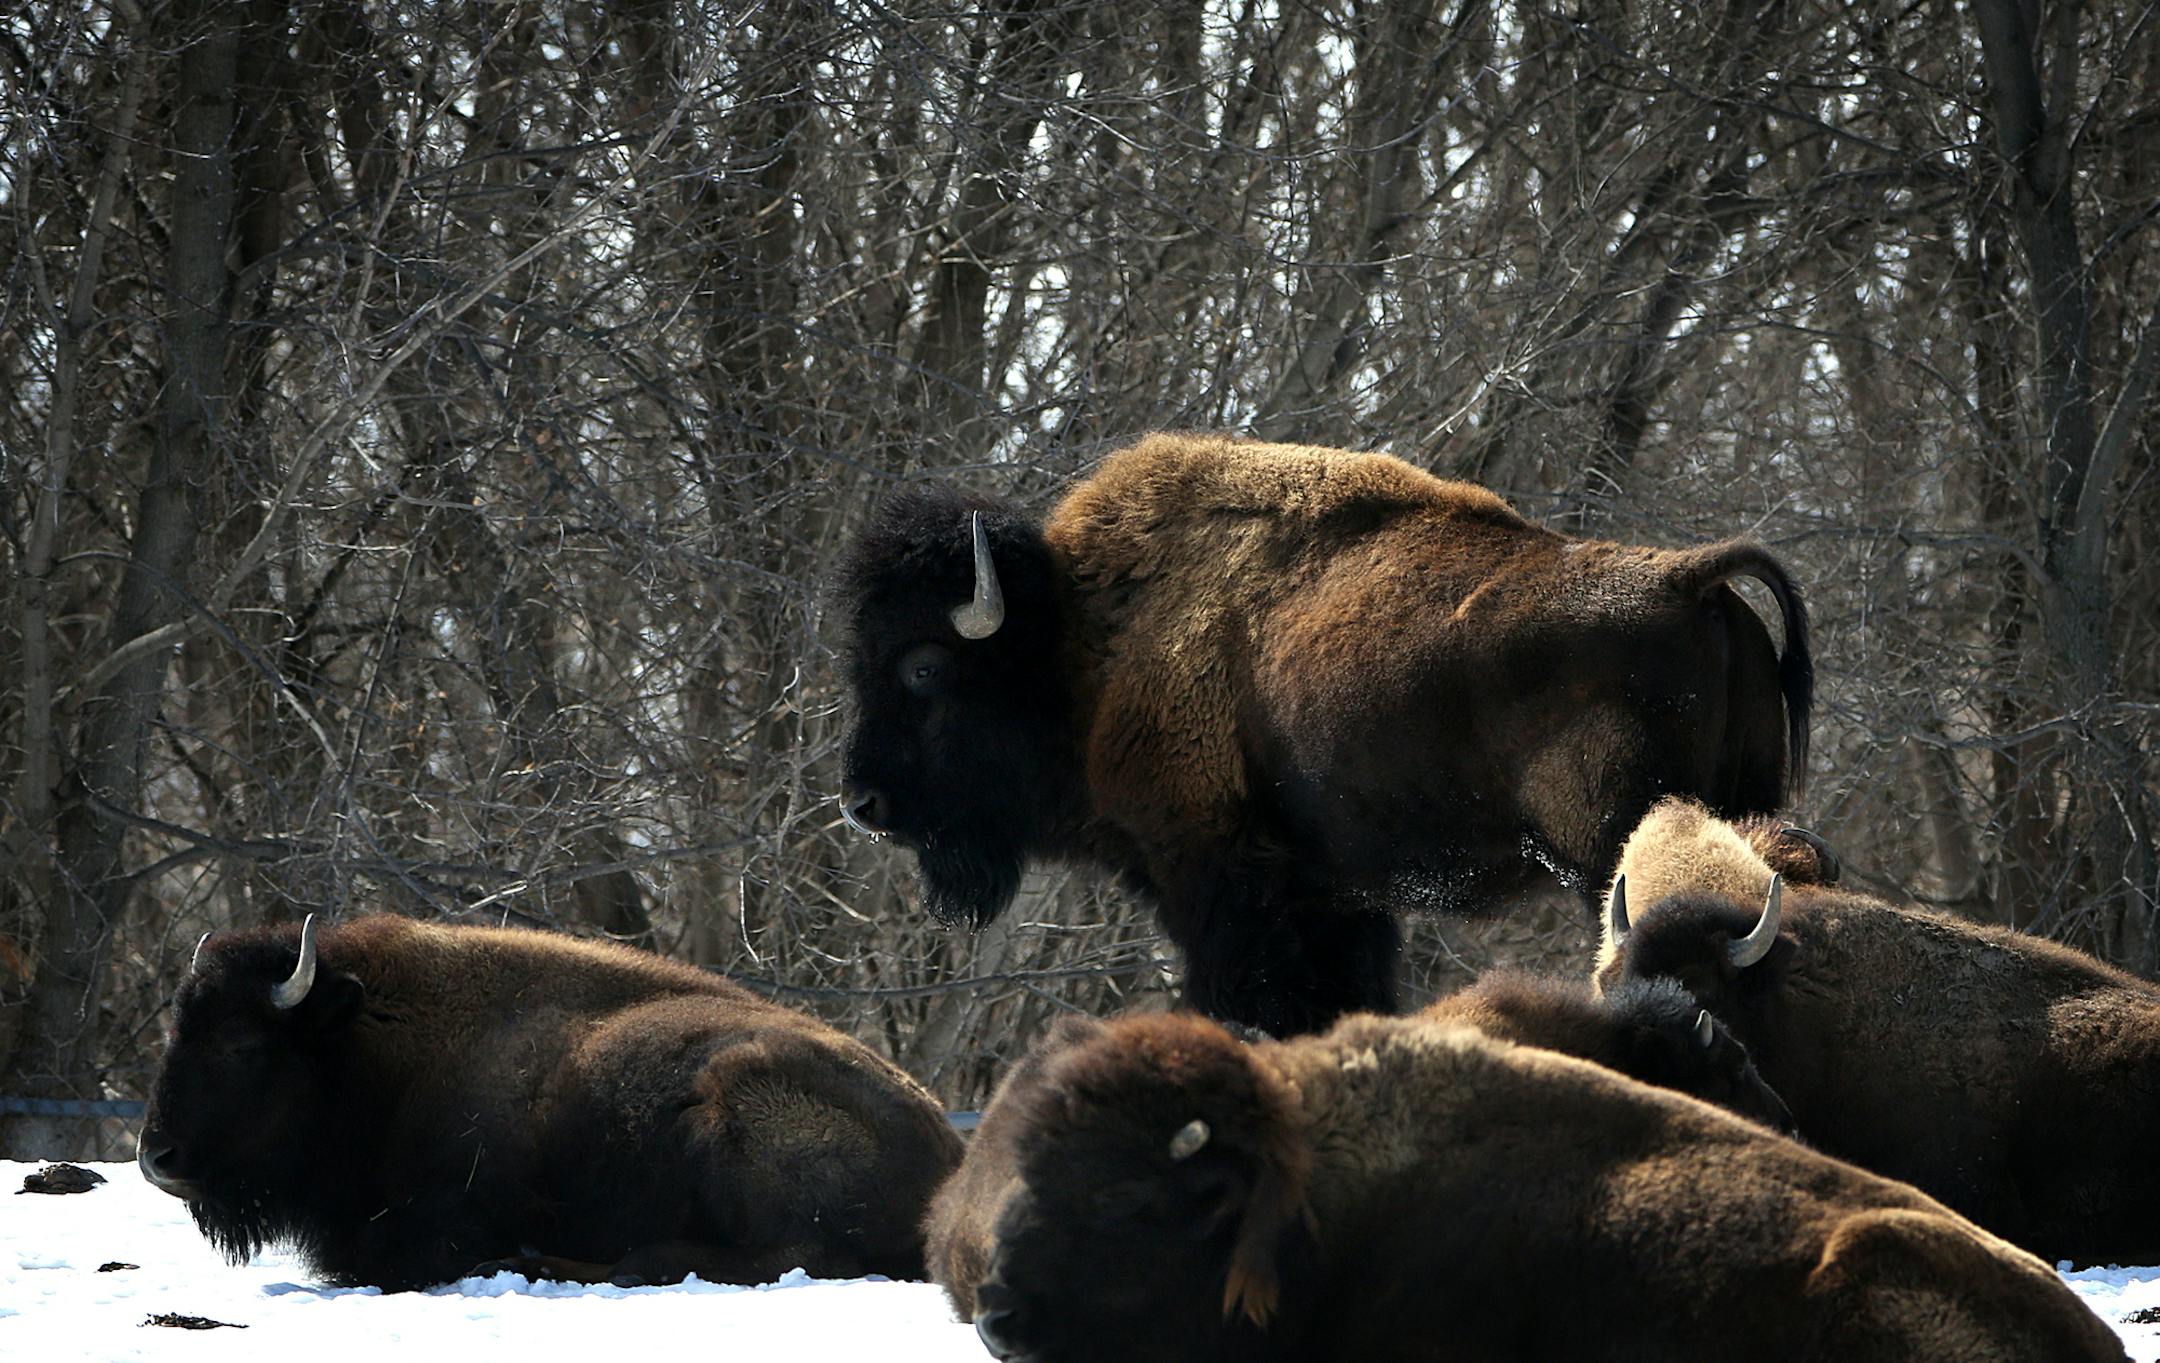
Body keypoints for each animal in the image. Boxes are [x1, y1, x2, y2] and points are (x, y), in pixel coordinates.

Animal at [138, 914, 963, 1290]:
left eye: (244, 1044)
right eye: (174, 1027)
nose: (157, 1158)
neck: (368, 1040)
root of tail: (947, 1159)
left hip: (728, 1102)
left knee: (773, 1255)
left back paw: (541, 1260)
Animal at [836, 433, 1811, 1034]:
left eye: (922, 667)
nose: (862, 802)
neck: (1079, 639)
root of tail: (1688, 579)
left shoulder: (1219, 877)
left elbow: (1253, 997)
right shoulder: (1337, 896)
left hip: (1613, 851)